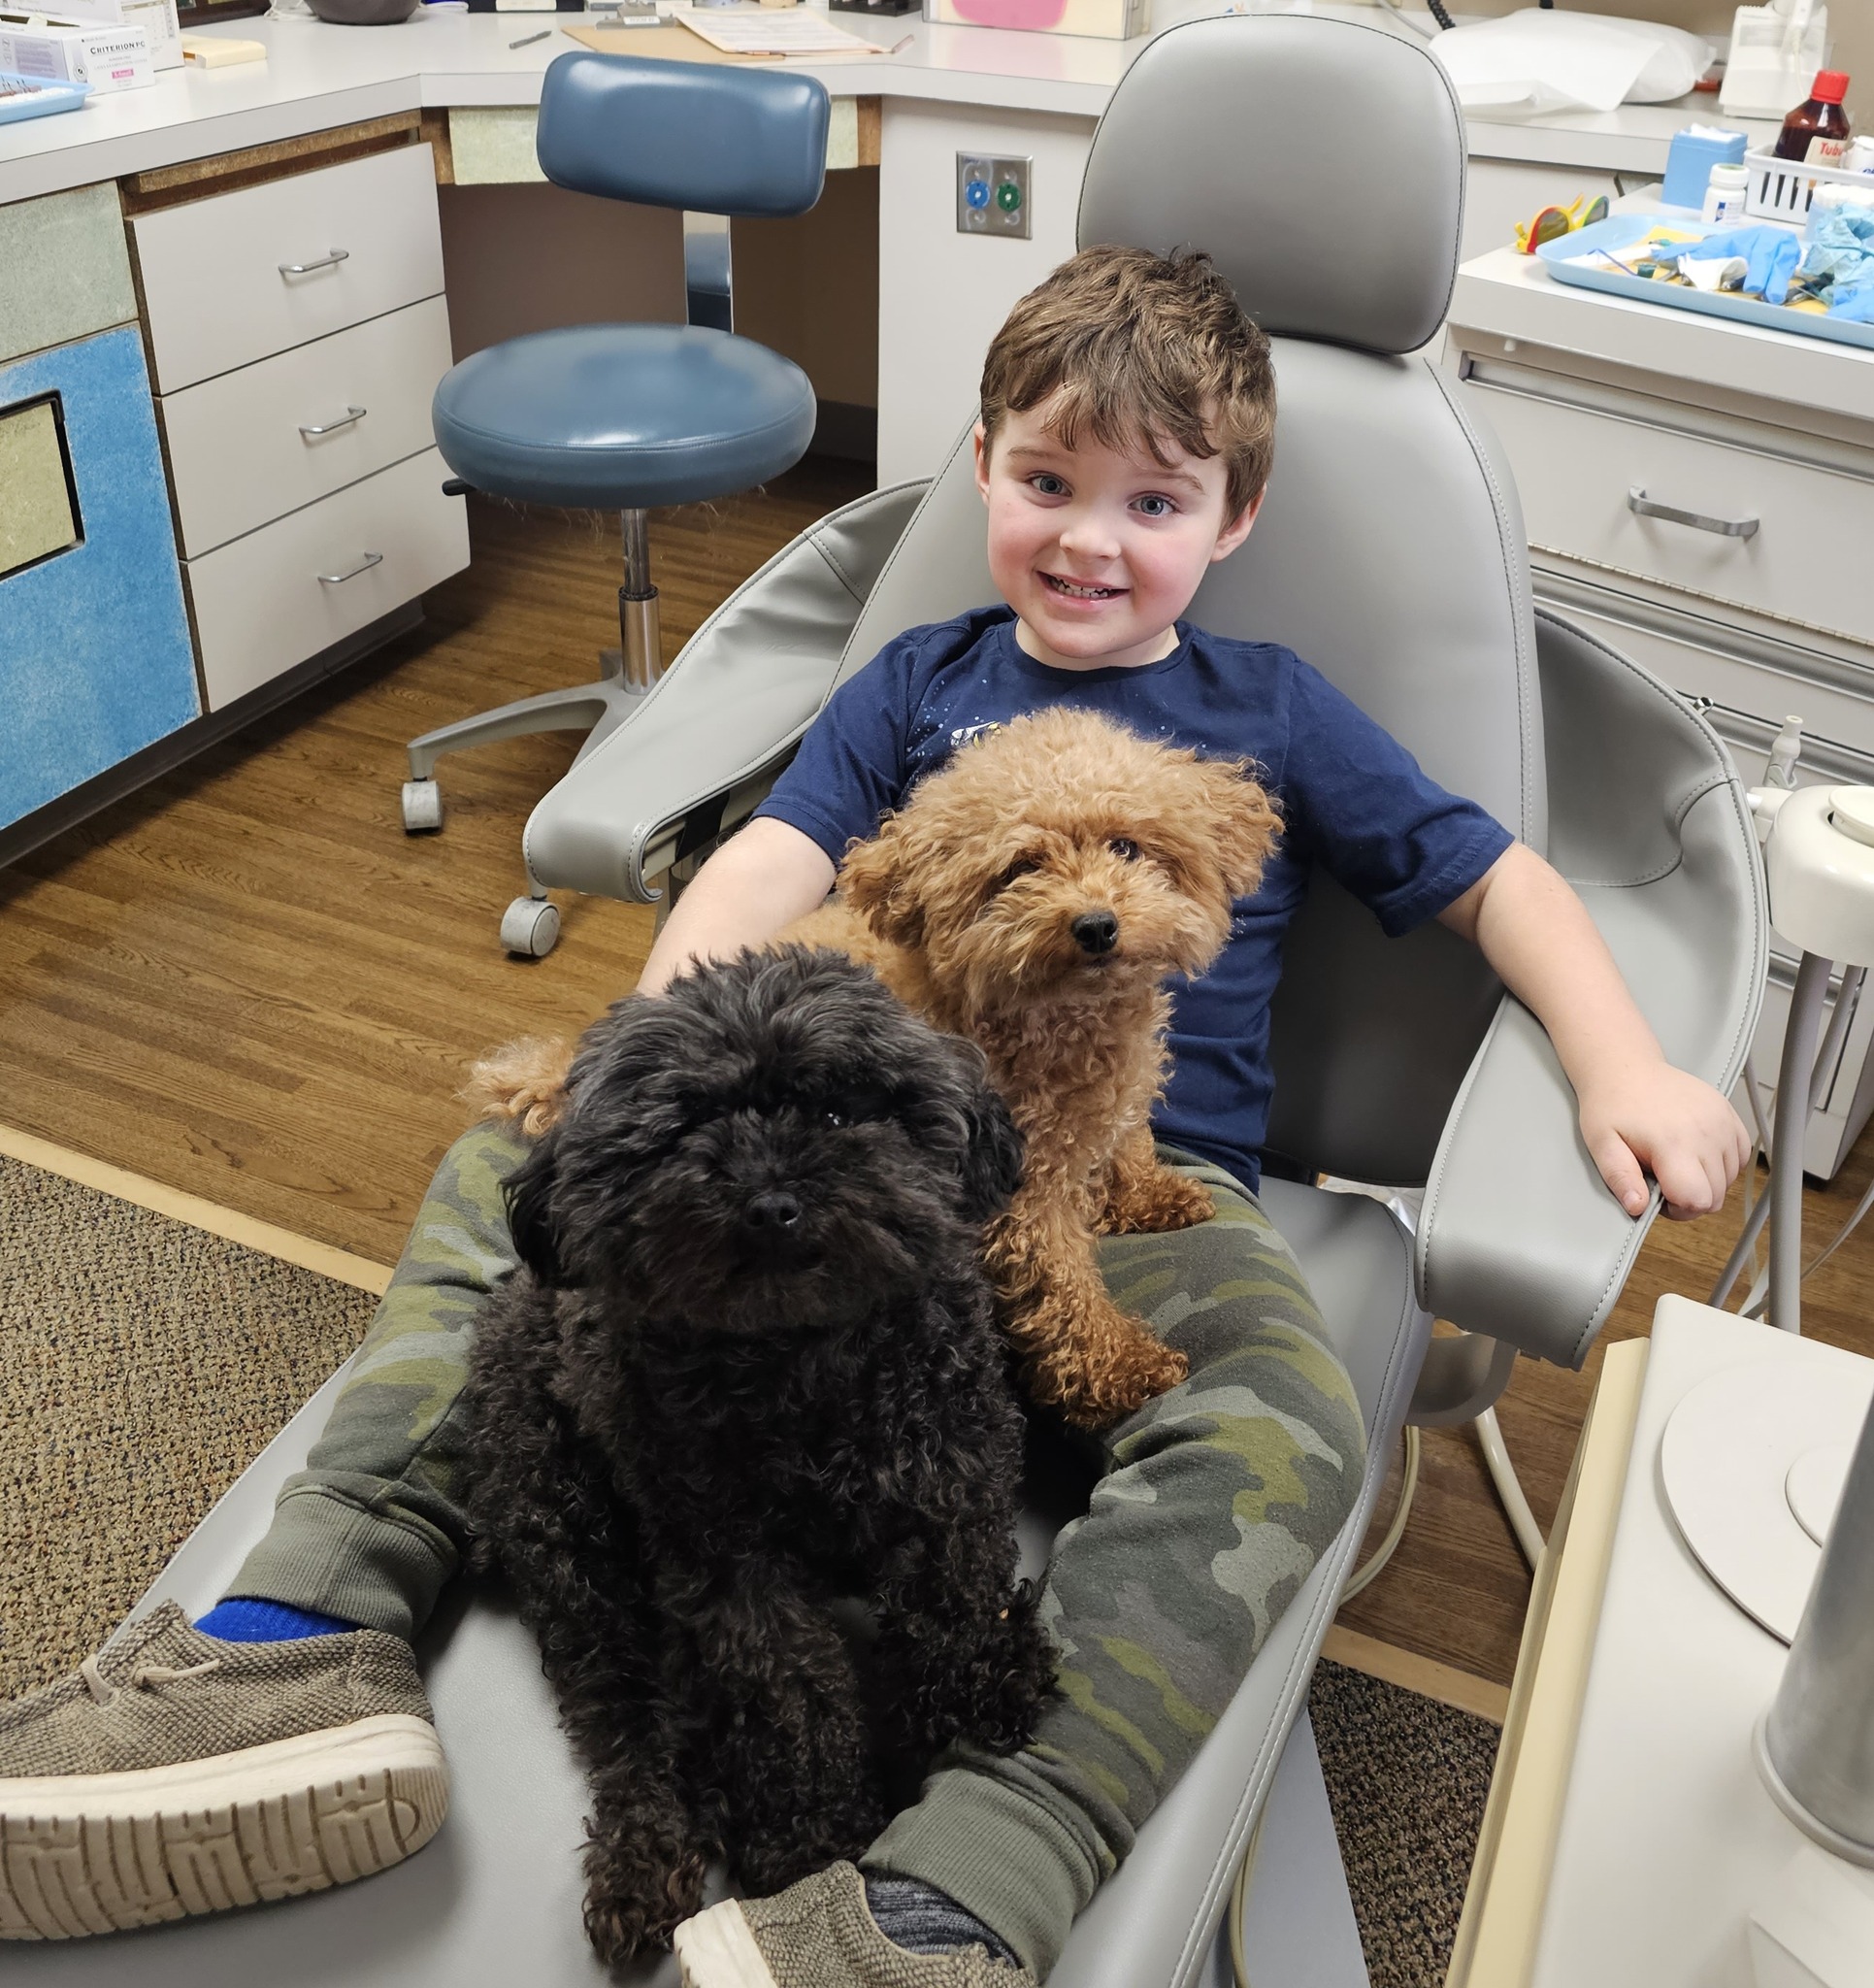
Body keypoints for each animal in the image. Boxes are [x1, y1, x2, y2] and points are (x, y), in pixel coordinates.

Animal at [459, 954, 1057, 1964]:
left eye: (837, 1113)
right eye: (685, 1127)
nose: (773, 1203)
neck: (802, 1357)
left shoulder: (949, 1466)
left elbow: (955, 1581)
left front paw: (986, 1682)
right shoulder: (731, 1568)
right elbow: (792, 1697)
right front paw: (812, 1839)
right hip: (573, 1548)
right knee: (626, 1725)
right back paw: (646, 1860)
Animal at [477, 715, 1279, 1431]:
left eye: (1125, 846)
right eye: (1021, 869)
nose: (1095, 925)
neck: (1060, 1014)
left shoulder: (1112, 1101)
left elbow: (1126, 1140)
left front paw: (1148, 1191)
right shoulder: (1022, 1193)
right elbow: (1060, 1284)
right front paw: (1119, 1367)